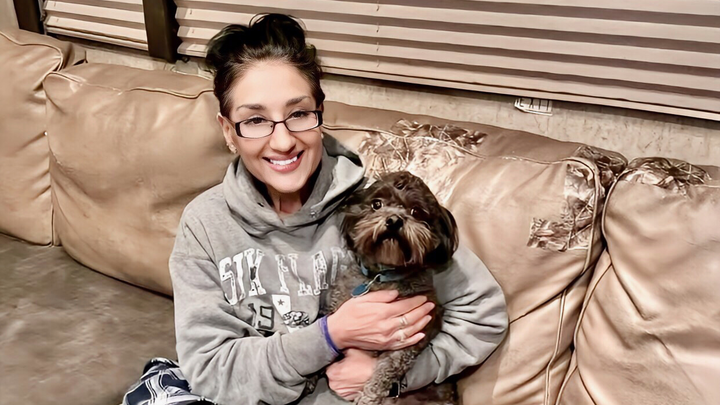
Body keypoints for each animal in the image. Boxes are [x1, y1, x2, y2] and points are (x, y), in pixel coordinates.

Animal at [326, 171, 459, 405]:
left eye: (416, 211)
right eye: (376, 204)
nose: (394, 220)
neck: (381, 277)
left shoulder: (405, 343)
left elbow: (386, 370)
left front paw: (367, 397)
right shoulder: (337, 313)